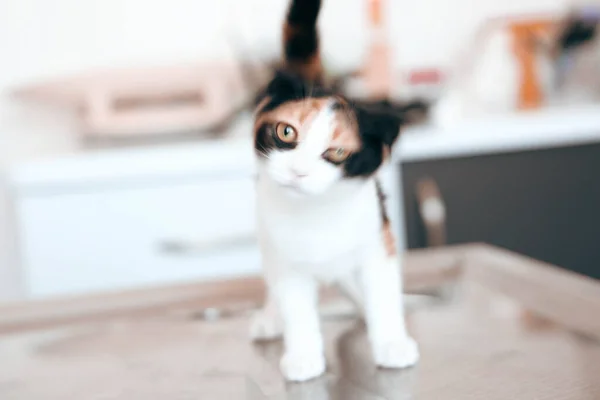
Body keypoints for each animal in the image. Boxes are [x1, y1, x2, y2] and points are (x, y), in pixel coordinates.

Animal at [246, 0, 420, 382]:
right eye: (286, 132)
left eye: (337, 153)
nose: (298, 171)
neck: (318, 211)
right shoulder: (287, 262)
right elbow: (296, 308)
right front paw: (303, 356)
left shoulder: (376, 241)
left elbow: (382, 294)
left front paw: (391, 343)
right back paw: (269, 317)